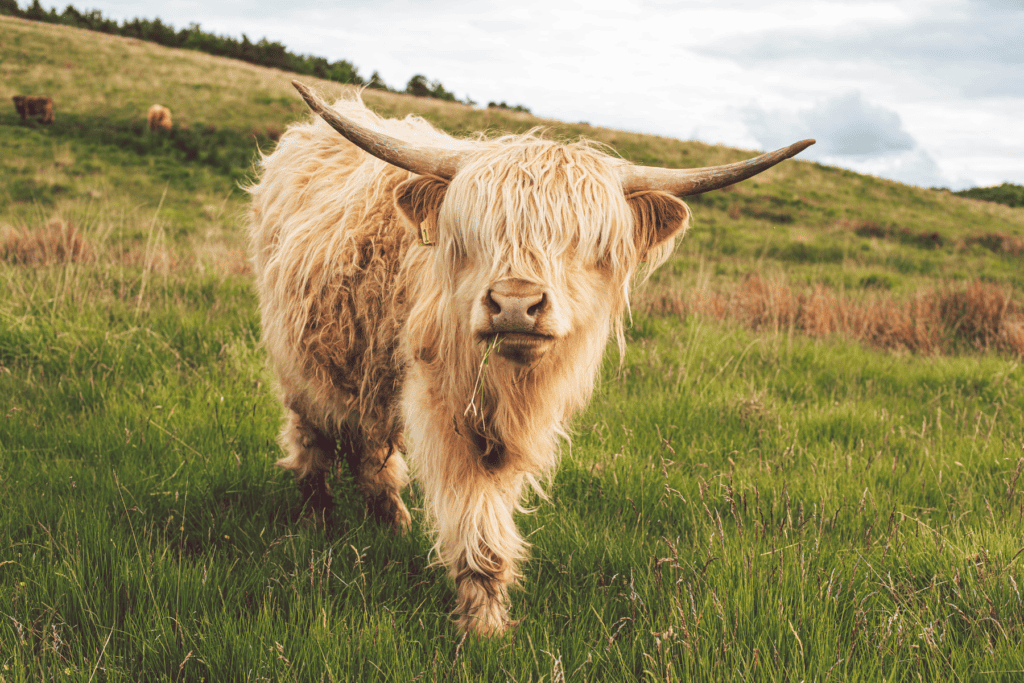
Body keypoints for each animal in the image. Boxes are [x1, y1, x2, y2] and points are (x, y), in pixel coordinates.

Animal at [247, 80, 813, 636]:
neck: (509, 384)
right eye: (474, 236)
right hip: (297, 355)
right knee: (312, 431)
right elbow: (476, 521)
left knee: (368, 443)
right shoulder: (445, 408)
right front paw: (483, 628)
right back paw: (318, 514)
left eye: (585, 243)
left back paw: (391, 520)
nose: (515, 303)